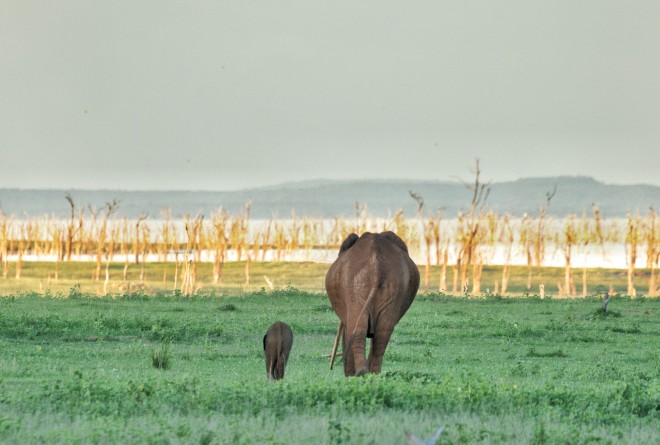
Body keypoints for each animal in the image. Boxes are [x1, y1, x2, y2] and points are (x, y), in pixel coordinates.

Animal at [328, 232, 420, 374]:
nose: (331, 367)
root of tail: (377, 264)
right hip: (393, 287)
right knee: (382, 334)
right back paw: (372, 374)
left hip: (355, 286)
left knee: (356, 328)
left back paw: (361, 373)